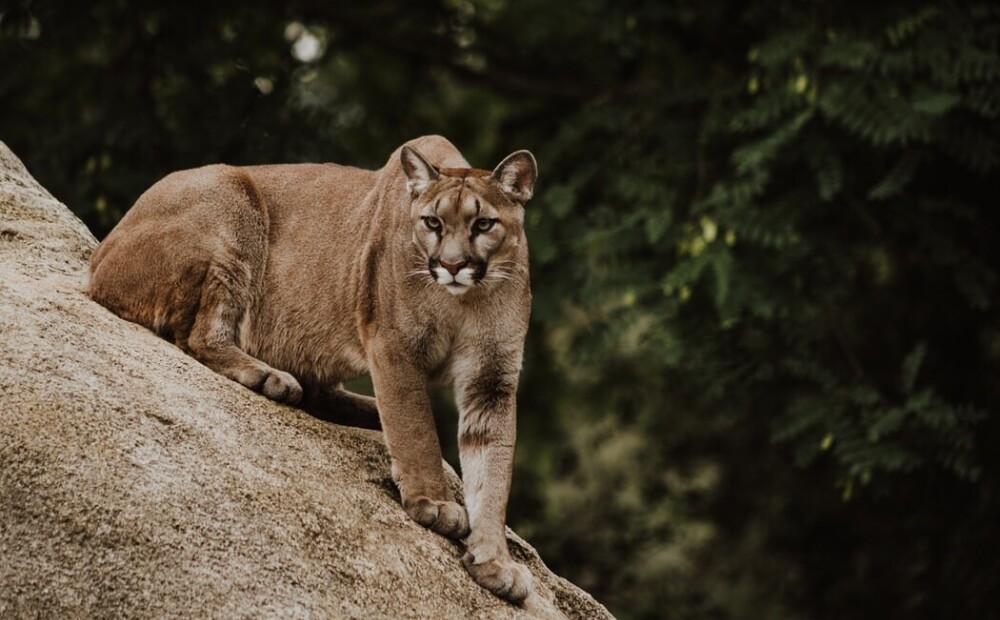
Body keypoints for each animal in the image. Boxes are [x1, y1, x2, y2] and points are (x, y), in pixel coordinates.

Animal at [88, 134, 540, 600]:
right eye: (432, 223)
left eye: (483, 224)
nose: (451, 265)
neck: (463, 300)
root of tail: (98, 257)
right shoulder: (394, 347)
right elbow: (416, 431)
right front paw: (435, 503)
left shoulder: (492, 380)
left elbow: (492, 472)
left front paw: (494, 562)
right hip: (232, 202)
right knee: (199, 335)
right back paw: (270, 378)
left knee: (319, 390)